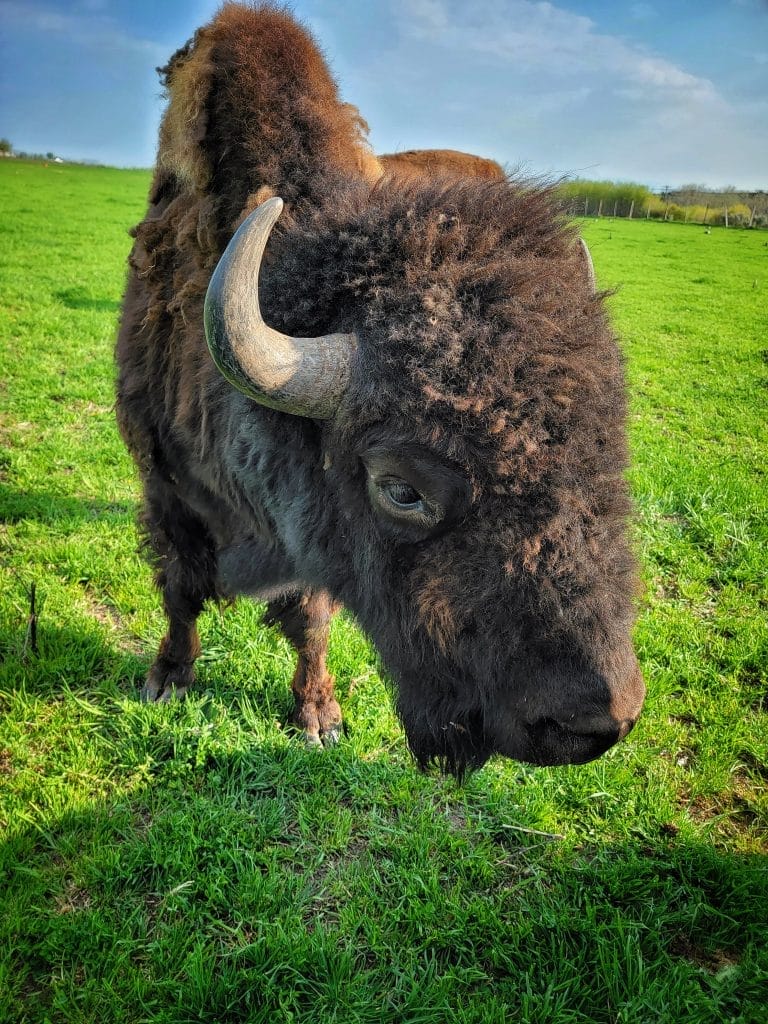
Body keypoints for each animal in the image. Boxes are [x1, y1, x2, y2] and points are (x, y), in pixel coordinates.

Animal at [115, 2, 643, 774]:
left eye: (604, 453)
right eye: (401, 488)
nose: (593, 720)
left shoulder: (306, 540)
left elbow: (309, 617)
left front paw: (317, 717)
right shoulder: (165, 485)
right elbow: (181, 589)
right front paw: (168, 679)